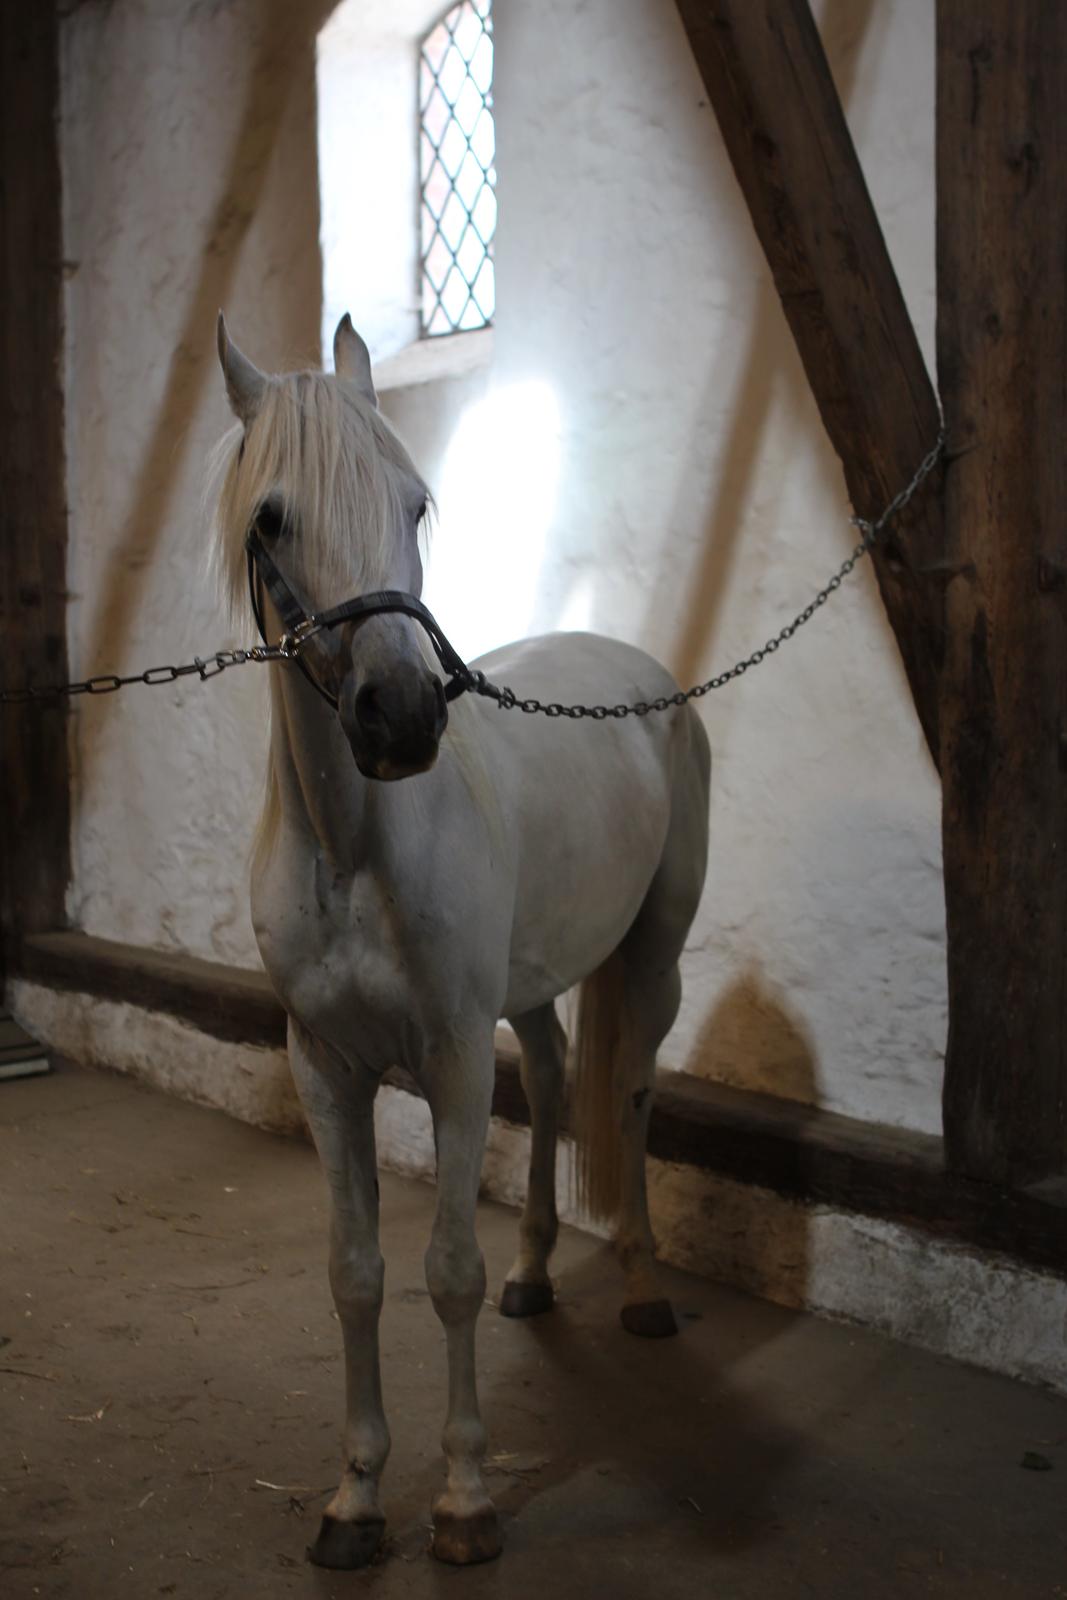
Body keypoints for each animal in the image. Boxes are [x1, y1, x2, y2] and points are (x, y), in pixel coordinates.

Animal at [212, 308, 710, 1561]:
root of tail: (634, 670)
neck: (355, 852)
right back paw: (539, 1272)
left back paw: (641, 1289)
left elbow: (445, 1270)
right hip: (527, 987)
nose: (399, 715)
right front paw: (353, 1499)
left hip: (653, 955)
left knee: (626, 1089)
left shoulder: (445, 1059)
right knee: (553, 1069)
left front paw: (465, 1498)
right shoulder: (326, 1069)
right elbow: (355, 1273)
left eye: (417, 501)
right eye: (269, 518)